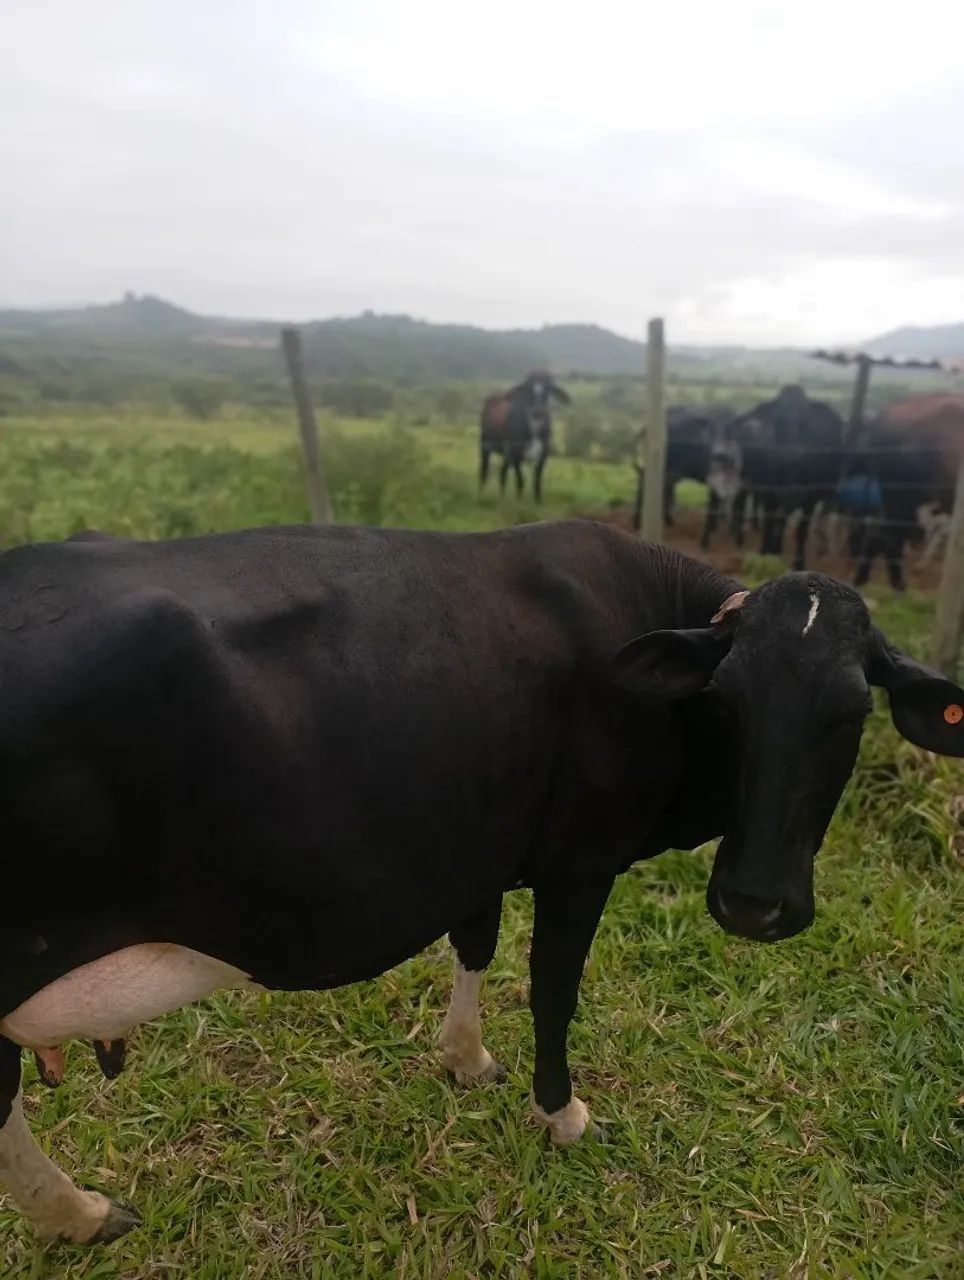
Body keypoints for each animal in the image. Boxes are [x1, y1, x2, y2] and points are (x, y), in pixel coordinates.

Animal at [0, 520, 961, 1246]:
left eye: (852, 711)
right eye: (725, 701)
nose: (756, 903)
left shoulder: (481, 841)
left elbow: (476, 940)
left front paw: (464, 1059)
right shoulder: (582, 860)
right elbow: (553, 989)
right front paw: (560, 1113)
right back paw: (76, 1214)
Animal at [479, 372, 570, 501]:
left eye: (548, 388)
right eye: (528, 389)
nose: (538, 411)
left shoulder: (543, 455)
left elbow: (537, 481)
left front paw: (538, 501)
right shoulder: (516, 454)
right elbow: (520, 480)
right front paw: (519, 500)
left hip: (506, 454)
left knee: (502, 472)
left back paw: (502, 496)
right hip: (484, 445)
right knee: (484, 469)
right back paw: (482, 493)